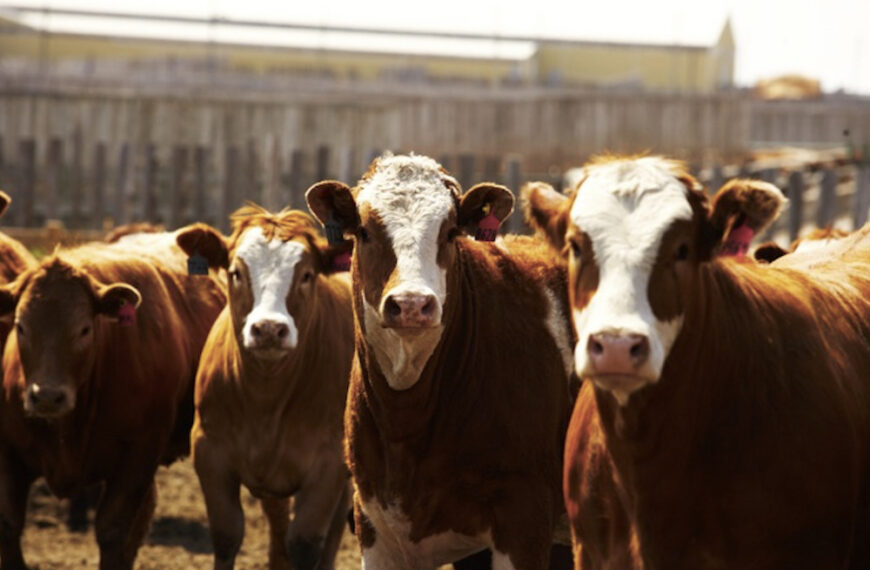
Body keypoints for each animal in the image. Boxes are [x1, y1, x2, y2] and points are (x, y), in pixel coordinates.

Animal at [0, 229, 228, 564]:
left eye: (84, 329)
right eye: (20, 326)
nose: (47, 397)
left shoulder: (138, 455)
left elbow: (113, 531)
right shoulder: (7, 453)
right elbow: (9, 524)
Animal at [174, 205, 354, 568]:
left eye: (307, 275)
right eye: (235, 272)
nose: (269, 328)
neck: (264, 398)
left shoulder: (329, 465)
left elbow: (305, 543)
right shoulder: (209, 452)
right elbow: (227, 535)